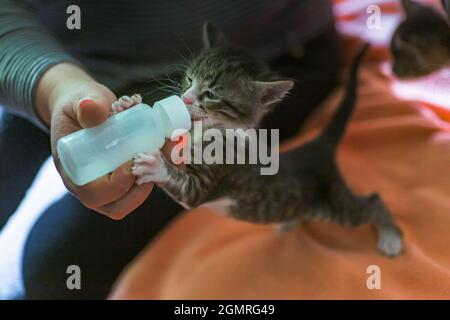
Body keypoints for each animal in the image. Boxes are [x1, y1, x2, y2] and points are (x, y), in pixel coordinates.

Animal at [114, 22, 402, 258]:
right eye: (188, 78)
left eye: (211, 94)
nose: (185, 98)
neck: (214, 129)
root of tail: (314, 147)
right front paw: (127, 107)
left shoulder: (206, 184)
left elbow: (186, 187)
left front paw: (154, 165)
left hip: (336, 205)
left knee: (372, 202)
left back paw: (391, 237)